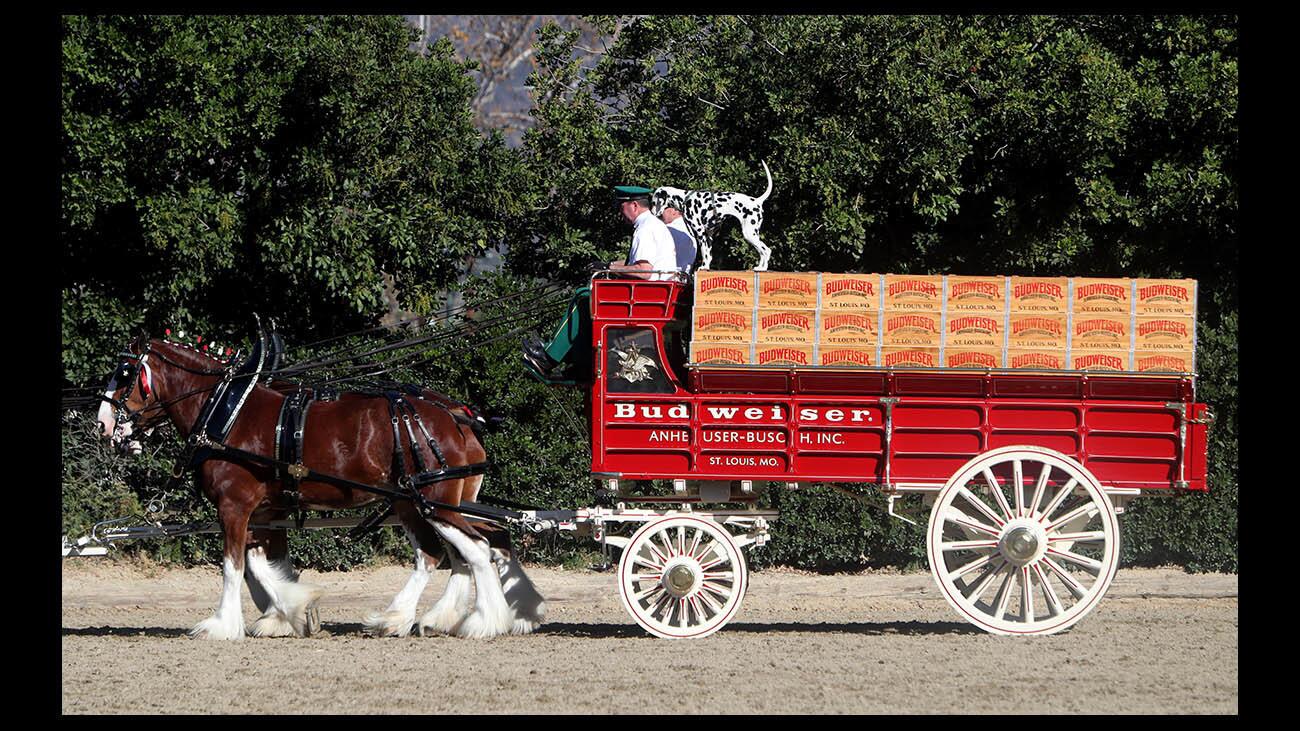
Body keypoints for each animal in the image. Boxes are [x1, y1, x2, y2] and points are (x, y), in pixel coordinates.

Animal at [96, 335, 543, 637]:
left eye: (124, 373)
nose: (101, 424)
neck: (227, 411)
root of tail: (457, 416)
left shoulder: (234, 506)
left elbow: (232, 567)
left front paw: (222, 624)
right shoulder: (265, 511)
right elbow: (261, 564)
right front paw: (291, 611)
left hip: (434, 503)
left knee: (473, 549)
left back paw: (479, 621)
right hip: (419, 503)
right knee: (463, 547)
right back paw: (421, 617)